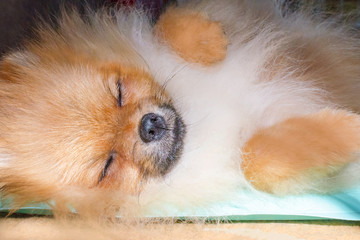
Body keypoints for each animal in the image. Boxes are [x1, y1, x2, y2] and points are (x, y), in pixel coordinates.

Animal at [0, 0, 360, 218]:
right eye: (107, 166)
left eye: (119, 91)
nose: (149, 126)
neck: (196, 117)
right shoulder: (238, 168)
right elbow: (257, 161)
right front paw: (348, 131)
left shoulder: (247, 15)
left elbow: (168, 18)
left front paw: (207, 39)